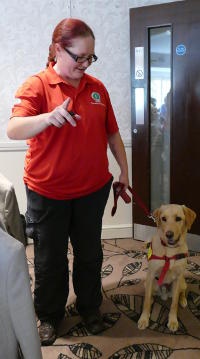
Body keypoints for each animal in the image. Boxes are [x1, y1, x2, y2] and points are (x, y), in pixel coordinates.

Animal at [138, 204, 196, 334]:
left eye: (178, 218)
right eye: (163, 219)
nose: (168, 234)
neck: (170, 250)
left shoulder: (178, 278)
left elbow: (174, 303)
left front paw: (173, 321)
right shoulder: (150, 275)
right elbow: (146, 302)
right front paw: (144, 319)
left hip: (182, 282)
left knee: (182, 292)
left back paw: (183, 300)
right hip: (147, 283)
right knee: (150, 294)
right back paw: (152, 299)